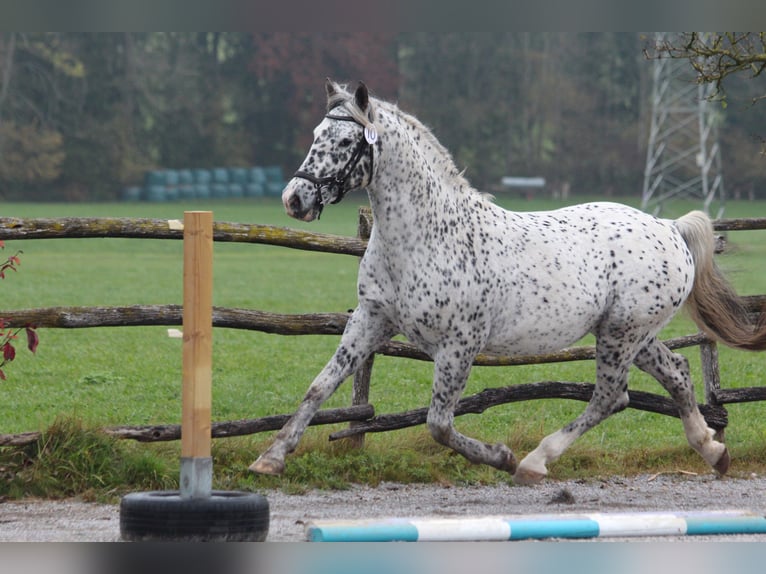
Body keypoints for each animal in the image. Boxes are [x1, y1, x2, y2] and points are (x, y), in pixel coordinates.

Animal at [252, 80, 766, 486]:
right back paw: (714, 452)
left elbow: (439, 423)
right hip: (631, 334)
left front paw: (501, 457)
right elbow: (320, 387)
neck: (425, 236)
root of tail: (668, 226)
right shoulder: (371, 320)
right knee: (676, 373)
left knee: (609, 396)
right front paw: (270, 459)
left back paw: (535, 462)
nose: (294, 200)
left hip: (622, 335)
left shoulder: (459, 343)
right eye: (317, 135)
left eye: (345, 141)